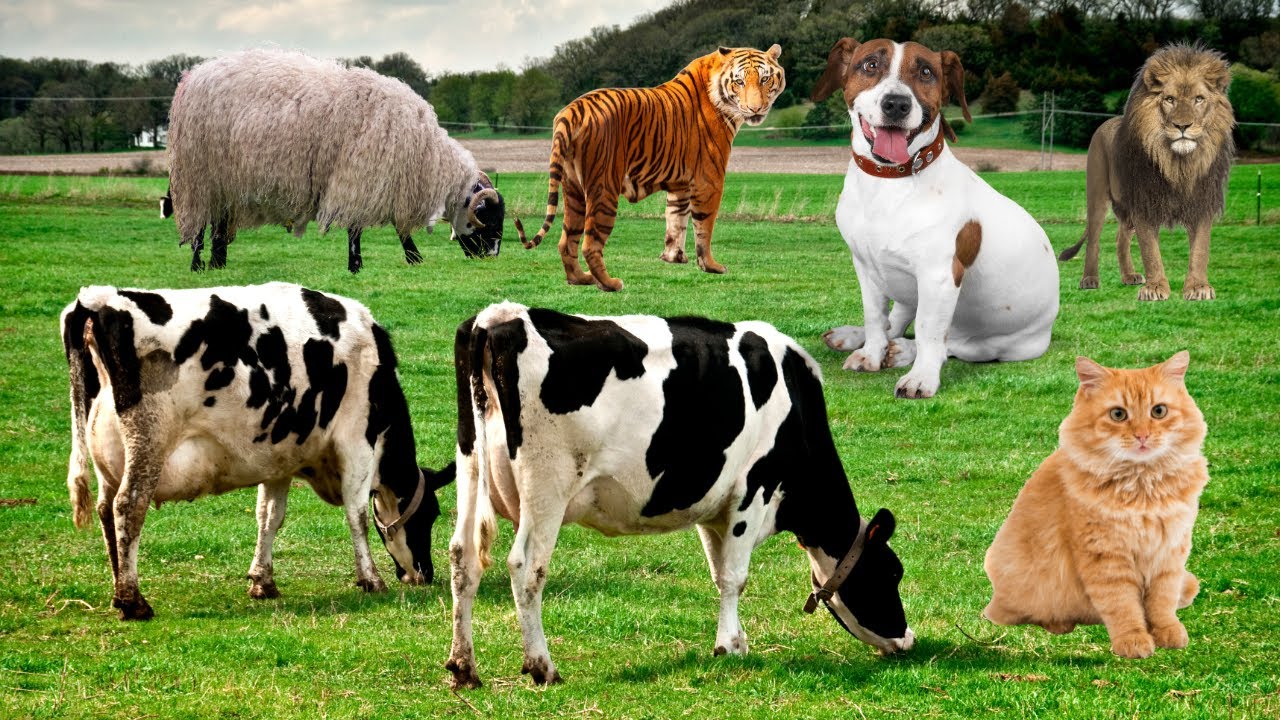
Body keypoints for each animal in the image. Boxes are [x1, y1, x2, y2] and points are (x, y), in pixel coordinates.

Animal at [61, 282, 454, 620]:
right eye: (430, 515)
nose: (425, 573)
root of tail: (97, 299)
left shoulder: (278, 459)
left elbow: (269, 516)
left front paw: (262, 581)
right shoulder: (356, 442)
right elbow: (357, 515)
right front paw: (371, 579)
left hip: (108, 454)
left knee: (105, 510)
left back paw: (118, 590)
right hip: (149, 441)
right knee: (128, 506)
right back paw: (133, 600)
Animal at [445, 302, 914, 688]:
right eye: (893, 572)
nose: (908, 638)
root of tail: (498, 317)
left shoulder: (714, 504)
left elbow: (719, 571)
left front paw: (735, 640)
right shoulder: (753, 489)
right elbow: (736, 576)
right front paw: (729, 646)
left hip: (470, 464)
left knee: (463, 557)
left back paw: (464, 668)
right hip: (547, 484)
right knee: (526, 567)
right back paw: (542, 666)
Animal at [1058, 44, 1234, 301]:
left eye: (1199, 99)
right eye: (1169, 99)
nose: (1182, 126)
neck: (1178, 164)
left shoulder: (1201, 202)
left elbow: (1200, 248)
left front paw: (1198, 287)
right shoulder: (1144, 203)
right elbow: (1150, 251)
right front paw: (1155, 288)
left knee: (1121, 239)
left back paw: (1129, 276)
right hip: (1097, 194)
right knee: (1094, 239)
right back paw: (1089, 279)